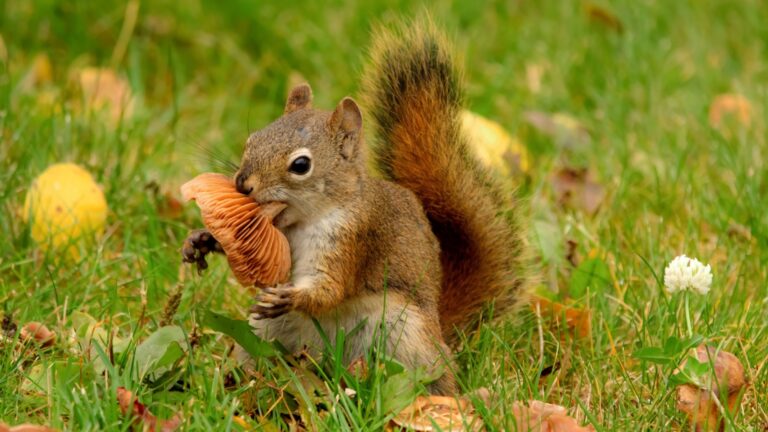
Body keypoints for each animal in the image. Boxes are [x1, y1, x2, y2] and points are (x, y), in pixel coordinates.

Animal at [182, 21, 527, 395]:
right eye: (252, 140)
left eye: (301, 165)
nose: (243, 183)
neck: (307, 219)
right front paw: (202, 240)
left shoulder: (354, 238)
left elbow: (330, 289)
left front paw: (291, 298)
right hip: (262, 334)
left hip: (409, 338)